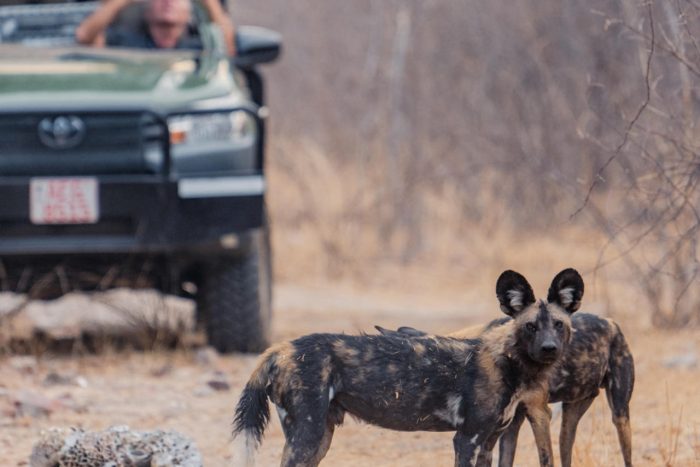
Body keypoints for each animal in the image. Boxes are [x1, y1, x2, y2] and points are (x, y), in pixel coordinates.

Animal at [232, 268, 584, 466]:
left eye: (558, 324)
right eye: (530, 327)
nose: (549, 349)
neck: (507, 363)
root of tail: (279, 349)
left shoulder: (487, 442)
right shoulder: (466, 440)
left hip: (319, 438)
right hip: (307, 435)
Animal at [378, 302, 636, 466]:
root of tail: (610, 322)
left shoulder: (539, 413)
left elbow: (545, 459)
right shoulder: (508, 425)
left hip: (620, 415)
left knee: (627, 455)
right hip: (570, 418)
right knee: (566, 449)